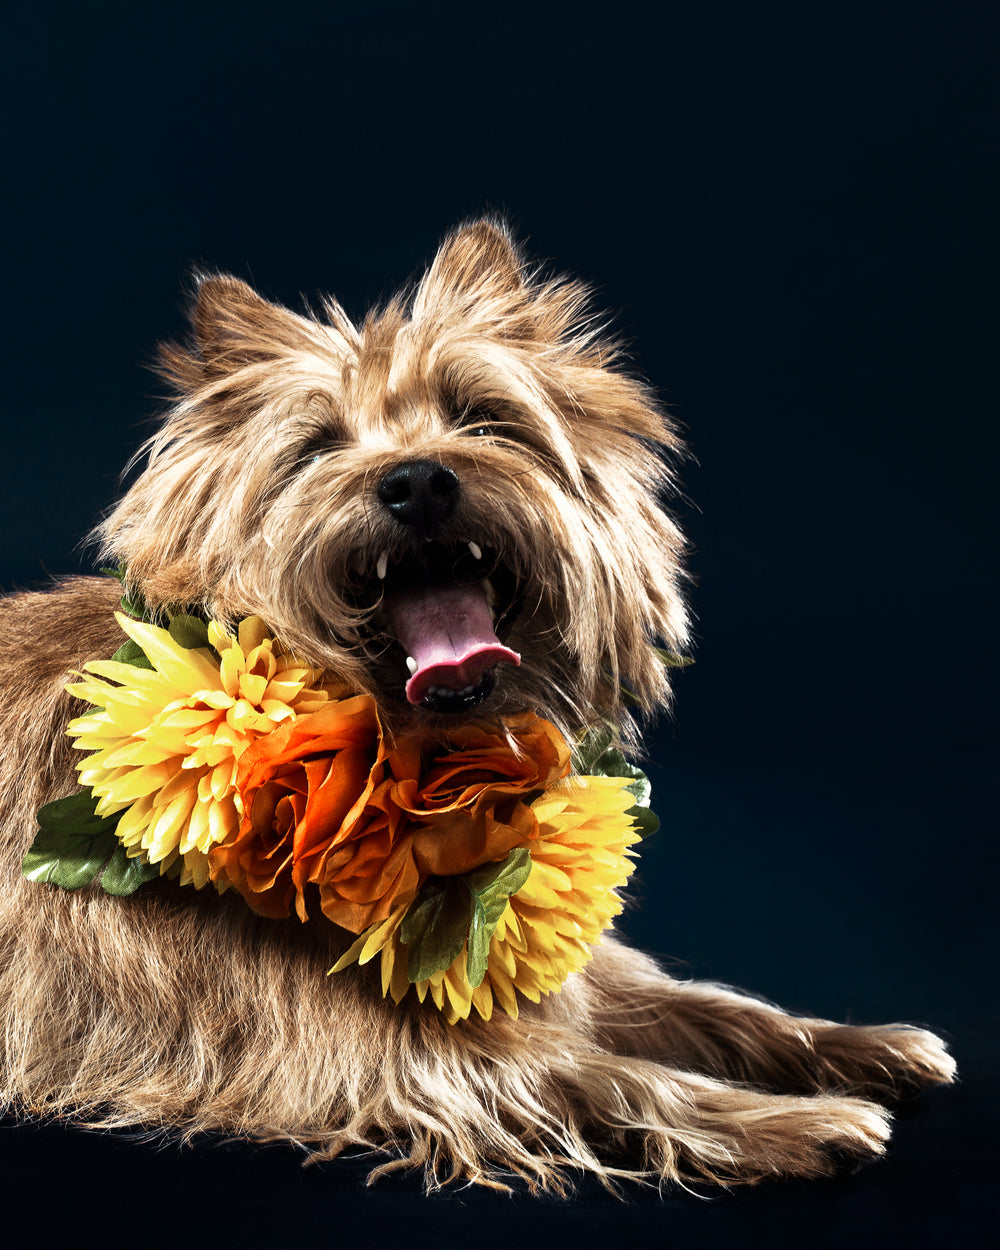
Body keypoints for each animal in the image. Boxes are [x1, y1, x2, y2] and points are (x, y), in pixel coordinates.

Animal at [0, 222, 955, 1190]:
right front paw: (791, 1121)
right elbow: (605, 1074)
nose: (418, 481)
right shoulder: (359, 1052)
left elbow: (683, 999)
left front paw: (854, 1045)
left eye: (482, 417)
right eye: (314, 449)